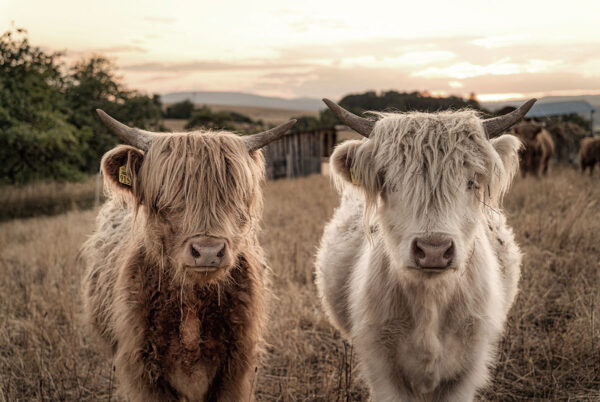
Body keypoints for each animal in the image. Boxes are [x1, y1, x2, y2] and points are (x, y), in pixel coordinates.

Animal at [79, 110, 296, 402]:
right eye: (164, 198)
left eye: (236, 197)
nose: (207, 251)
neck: (192, 304)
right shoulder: (144, 373)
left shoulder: (234, 370)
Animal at [316, 98, 532, 402]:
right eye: (390, 182)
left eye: (471, 182)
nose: (433, 250)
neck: (430, 300)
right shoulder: (383, 368)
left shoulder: (466, 371)